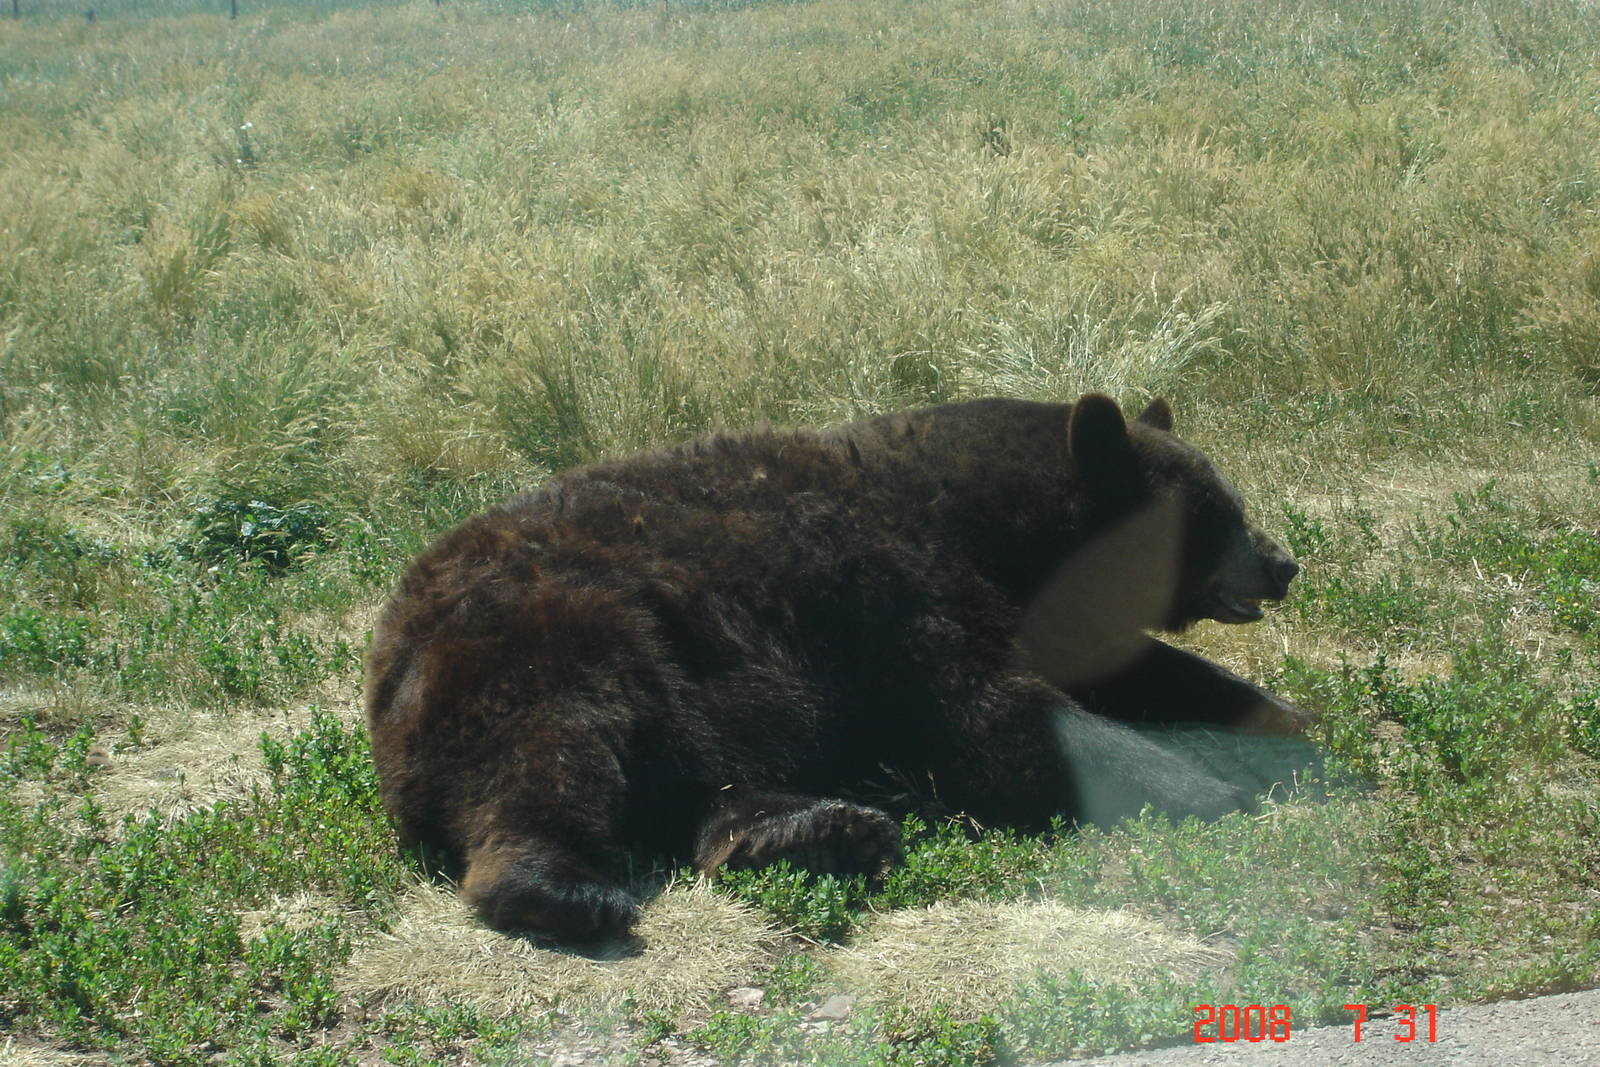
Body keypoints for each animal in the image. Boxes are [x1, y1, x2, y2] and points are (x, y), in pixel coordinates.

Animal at [364, 394, 1307, 942]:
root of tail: (387, 646)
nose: (1282, 562)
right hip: (553, 635)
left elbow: (1133, 669)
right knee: (555, 750)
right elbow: (989, 717)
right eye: (1215, 512)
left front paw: (1284, 721)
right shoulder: (895, 593)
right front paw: (1211, 787)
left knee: (707, 784)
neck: (1004, 528)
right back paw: (561, 889)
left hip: (685, 698)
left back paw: (822, 829)